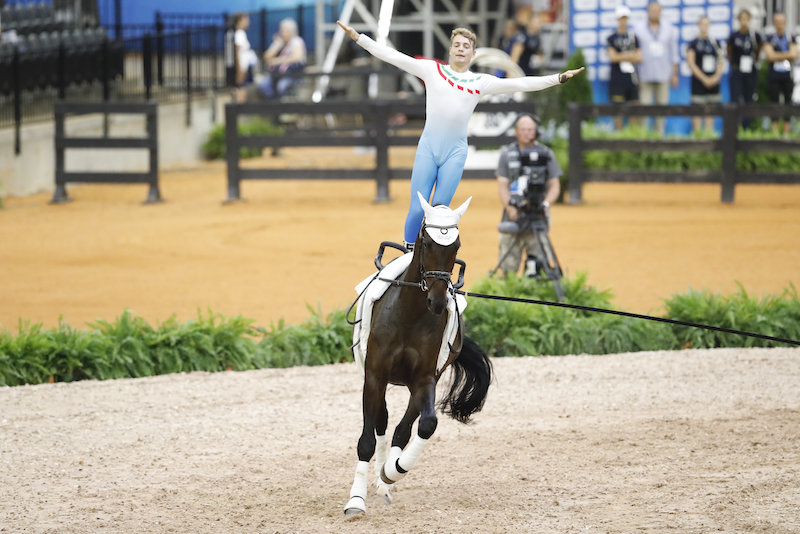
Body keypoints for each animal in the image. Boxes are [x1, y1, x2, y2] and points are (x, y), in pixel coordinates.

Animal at [346, 196, 494, 520]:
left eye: (456, 246)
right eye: (426, 242)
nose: (437, 301)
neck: (411, 312)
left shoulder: (425, 379)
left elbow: (425, 425)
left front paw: (394, 471)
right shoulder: (374, 377)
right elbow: (366, 441)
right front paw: (355, 501)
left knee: (401, 429)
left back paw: (386, 478)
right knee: (381, 424)